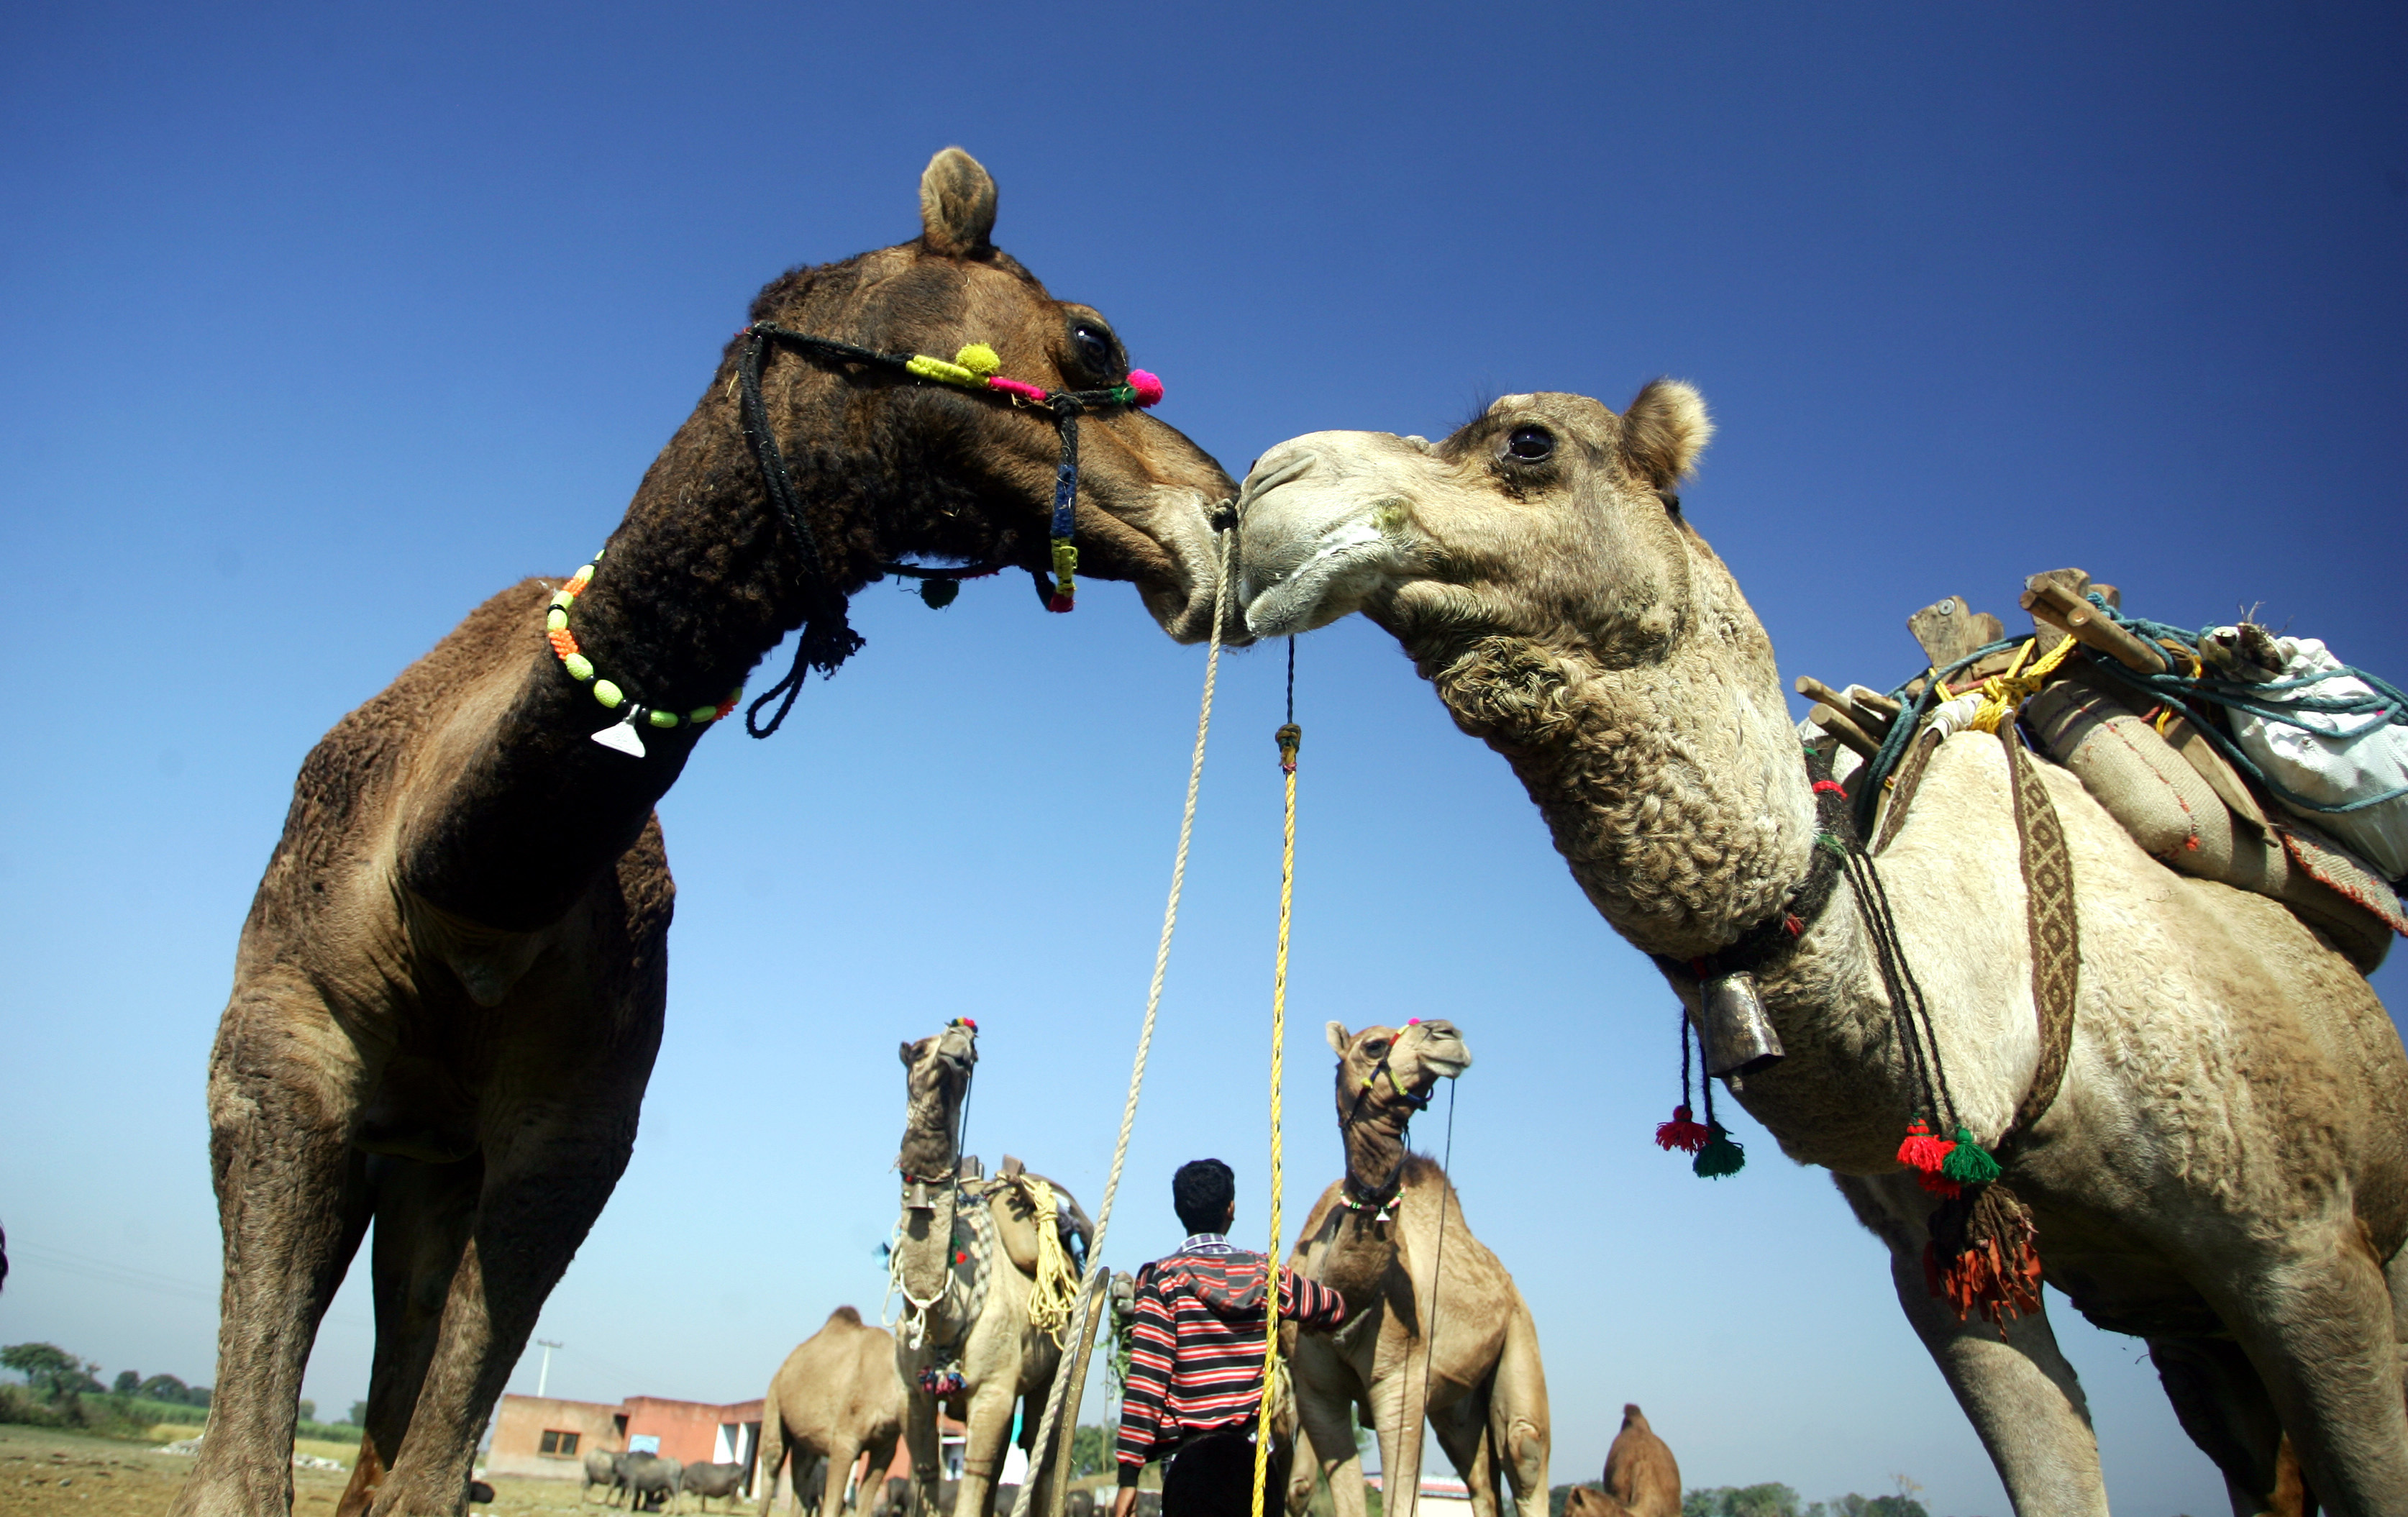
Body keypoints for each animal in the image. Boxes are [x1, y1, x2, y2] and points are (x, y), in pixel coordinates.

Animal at [756, 1306, 907, 1517]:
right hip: (774, 1397)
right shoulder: (845, 1441)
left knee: (802, 1472)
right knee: (773, 1458)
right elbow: (832, 1505)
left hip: (805, 1436)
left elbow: (864, 1504)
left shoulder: (886, 1447)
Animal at [890, 1022, 1094, 1517]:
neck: (943, 1314)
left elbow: (977, 1476)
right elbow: (926, 1472)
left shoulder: (995, 1392)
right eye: (918, 1051)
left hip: (1054, 1365)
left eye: (973, 1054)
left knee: (1039, 1446)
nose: (958, 1043)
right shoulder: (911, 1393)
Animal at [1282, 1019, 1548, 1517]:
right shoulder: (1315, 1392)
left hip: (1520, 1333)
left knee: (1525, 1449)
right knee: (1482, 1478)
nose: (1447, 1034)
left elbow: (1399, 1497)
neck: (1341, 1295)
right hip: (1457, 1403)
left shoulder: (1399, 1383)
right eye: (1373, 1046)